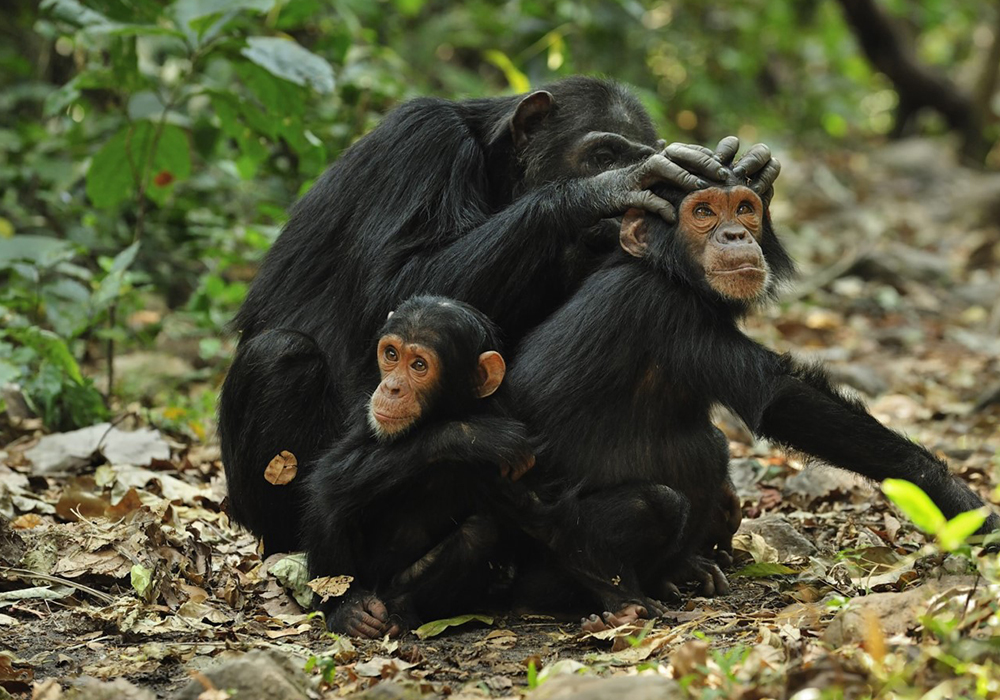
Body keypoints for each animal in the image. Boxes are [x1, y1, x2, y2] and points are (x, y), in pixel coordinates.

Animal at [219, 74, 780, 556]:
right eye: (601, 156)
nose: (619, 199)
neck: (497, 169)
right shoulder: (420, 143)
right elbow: (396, 285)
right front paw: (606, 189)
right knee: (281, 354)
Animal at [304, 292, 540, 636]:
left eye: (419, 365)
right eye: (391, 354)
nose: (391, 387)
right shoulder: (365, 415)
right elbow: (332, 477)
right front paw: (472, 435)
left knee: (480, 532)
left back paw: (400, 609)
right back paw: (351, 610)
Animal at [508, 171, 1000, 628]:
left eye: (745, 208)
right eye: (703, 212)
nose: (734, 234)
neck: (670, 274)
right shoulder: (667, 310)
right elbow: (780, 397)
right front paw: (959, 501)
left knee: (709, 447)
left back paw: (681, 571)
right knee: (666, 491)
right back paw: (614, 589)